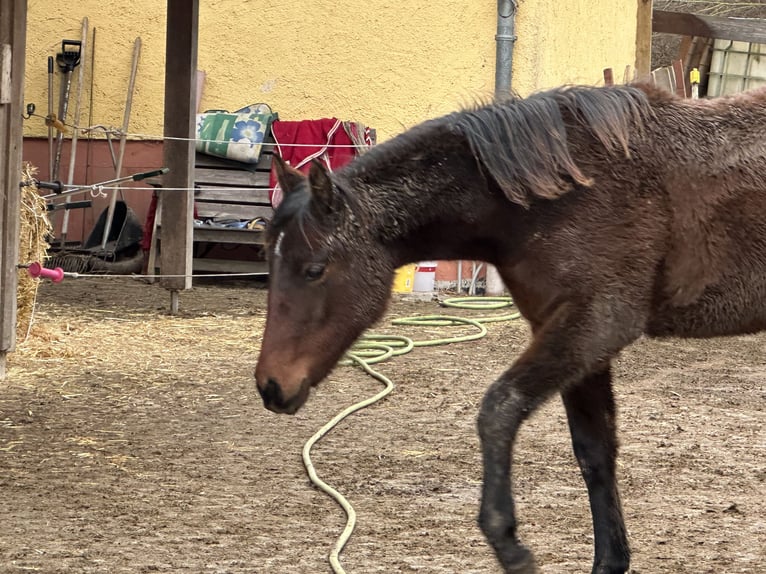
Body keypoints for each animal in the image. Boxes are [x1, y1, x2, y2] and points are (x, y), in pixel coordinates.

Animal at [254, 84, 766, 574]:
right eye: (269, 260)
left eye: (315, 269)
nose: (271, 386)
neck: (562, 193)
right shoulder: (575, 339)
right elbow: (594, 452)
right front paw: (609, 560)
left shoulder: (597, 324)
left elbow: (499, 408)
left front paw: (507, 541)